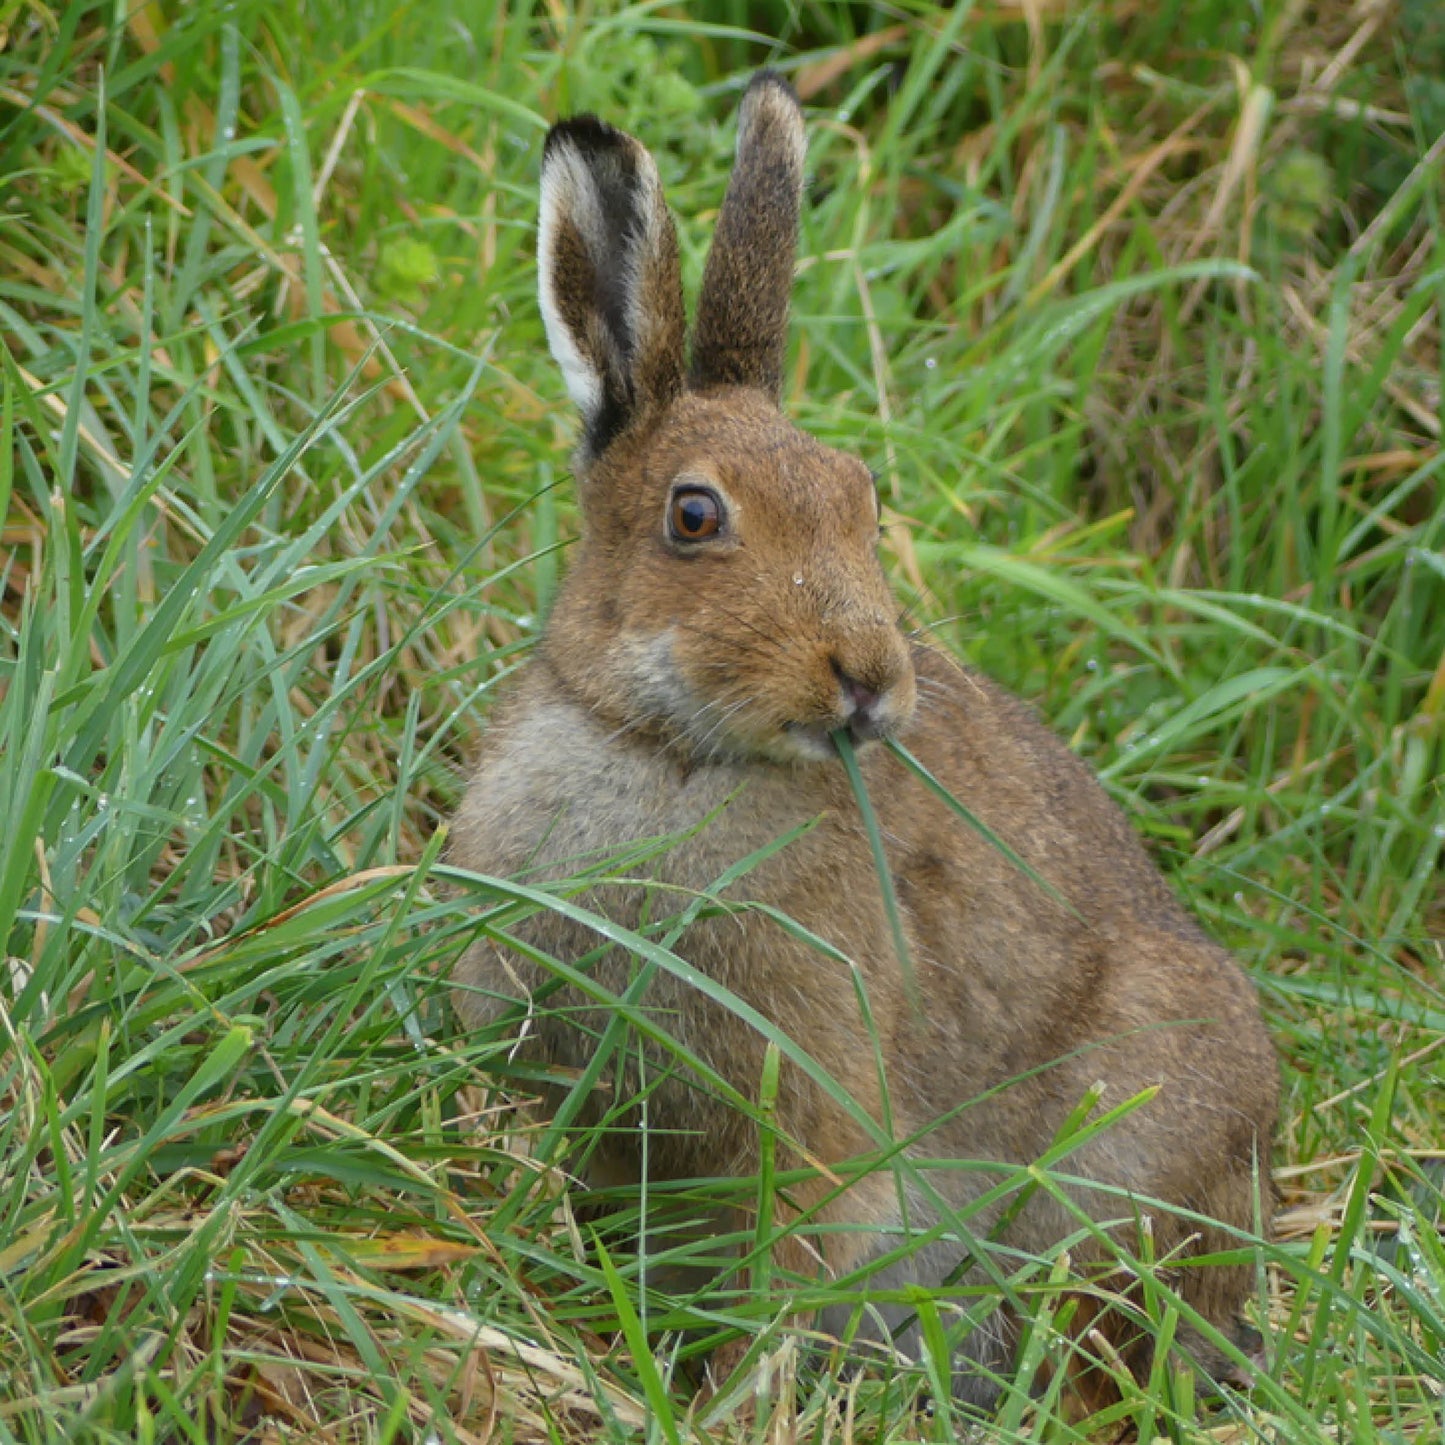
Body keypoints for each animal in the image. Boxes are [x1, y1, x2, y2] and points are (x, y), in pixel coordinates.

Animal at [451, 71, 1278, 1412]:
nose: (870, 680)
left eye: (861, 500)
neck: (666, 751)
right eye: (694, 515)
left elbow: (784, 1265)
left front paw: (726, 1402)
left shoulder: (810, 1118)